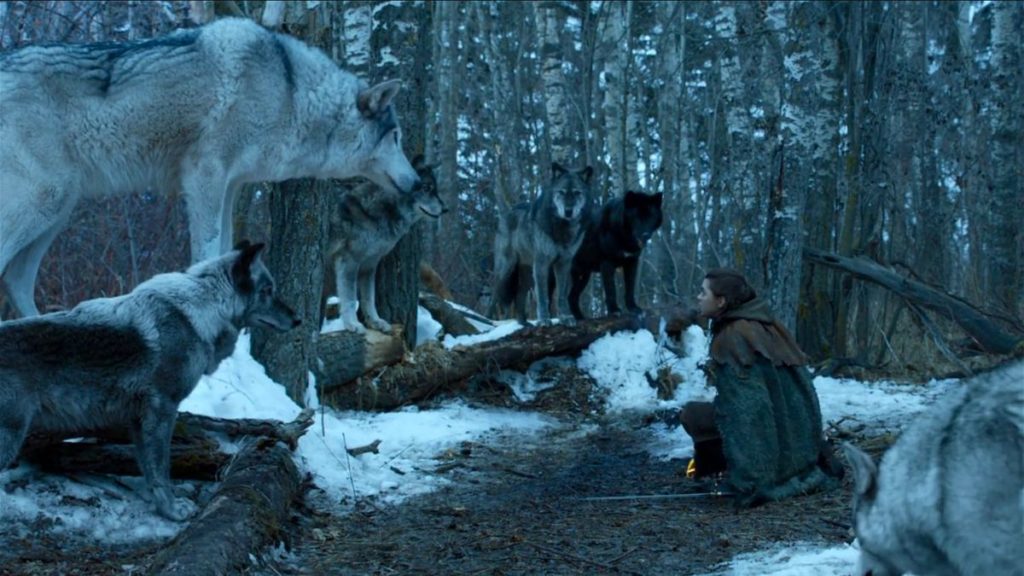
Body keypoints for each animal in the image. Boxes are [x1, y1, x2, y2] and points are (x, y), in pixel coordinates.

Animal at [0, 17, 421, 319]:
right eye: (397, 137)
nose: (417, 183)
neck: (291, 91)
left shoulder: (231, 186)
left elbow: (225, 244)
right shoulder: (205, 175)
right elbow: (206, 248)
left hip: (56, 213)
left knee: (17, 280)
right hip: (44, 203)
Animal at [0, 241, 299, 521]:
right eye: (268, 290)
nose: (298, 319)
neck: (199, 313)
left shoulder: (138, 419)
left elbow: (147, 468)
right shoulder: (163, 409)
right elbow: (161, 470)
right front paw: (172, 511)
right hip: (12, 436)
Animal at [325, 155, 445, 333]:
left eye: (435, 189)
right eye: (426, 188)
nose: (445, 209)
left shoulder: (369, 265)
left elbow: (369, 298)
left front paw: (376, 322)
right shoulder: (349, 261)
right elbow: (350, 298)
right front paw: (352, 324)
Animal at [492, 163, 594, 326]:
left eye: (577, 193)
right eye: (562, 192)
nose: (568, 211)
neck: (563, 229)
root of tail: (505, 213)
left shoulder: (564, 263)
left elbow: (562, 295)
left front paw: (565, 317)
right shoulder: (542, 263)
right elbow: (542, 296)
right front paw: (544, 319)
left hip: (527, 274)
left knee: (519, 296)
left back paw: (524, 323)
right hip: (506, 272)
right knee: (493, 298)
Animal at [568, 191, 663, 320]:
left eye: (651, 216)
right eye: (637, 217)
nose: (645, 234)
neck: (625, 238)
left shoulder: (632, 262)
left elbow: (630, 288)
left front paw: (633, 308)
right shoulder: (607, 262)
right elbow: (611, 289)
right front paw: (614, 310)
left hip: (583, 277)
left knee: (571, 297)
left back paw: (581, 319)